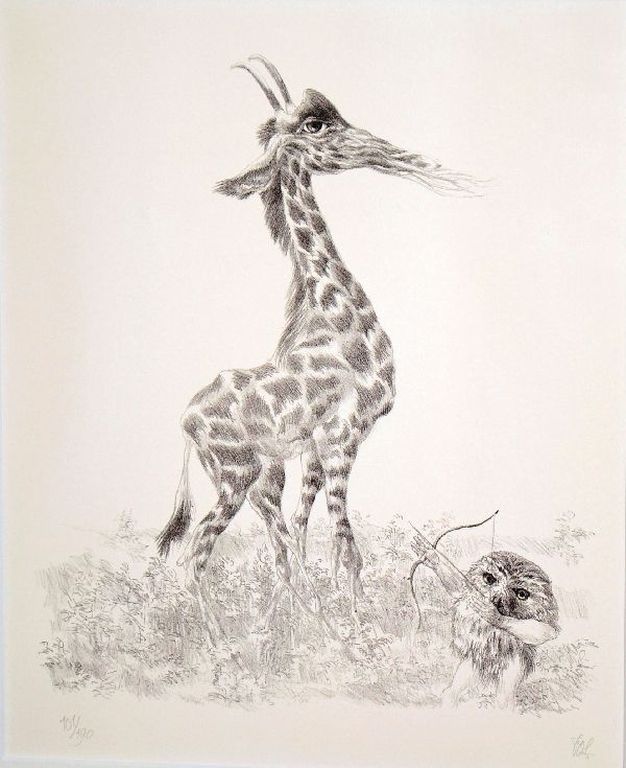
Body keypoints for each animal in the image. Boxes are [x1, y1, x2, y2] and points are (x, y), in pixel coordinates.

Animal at [157, 55, 472, 616]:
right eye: (316, 125)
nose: (393, 152)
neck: (335, 311)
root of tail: (185, 421)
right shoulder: (342, 437)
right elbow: (345, 544)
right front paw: (358, 623)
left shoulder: (313, 451)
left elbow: (308, 537)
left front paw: (325, 617)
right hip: (236, 477)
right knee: (196, 555)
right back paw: (224, 638)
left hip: (263, 478)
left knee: (276, 545)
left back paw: (280, 620)